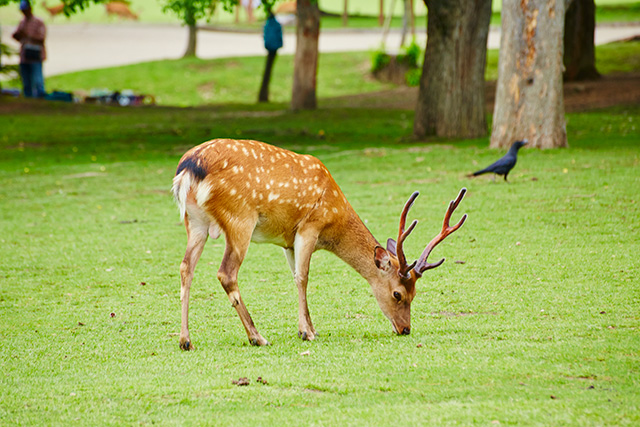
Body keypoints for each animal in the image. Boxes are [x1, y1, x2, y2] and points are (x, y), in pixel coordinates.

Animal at [172, 140, 468, 352]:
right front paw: (307, 333)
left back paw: (186, 340)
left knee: (186, 267)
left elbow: (295, 275)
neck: (334, 219)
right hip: (239, 219)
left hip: (194, 221)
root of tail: (187, 169)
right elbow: (303, 277)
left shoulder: (287, 241)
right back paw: (258, 337)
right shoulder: (309, 226)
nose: (405, 329)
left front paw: (310, 328)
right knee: (226, 273)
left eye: (415, 294)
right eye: (398, 294)